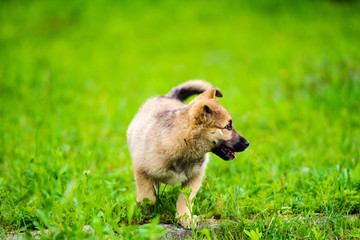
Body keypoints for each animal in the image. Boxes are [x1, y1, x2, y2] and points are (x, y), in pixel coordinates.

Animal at [128, 80, 249, 229]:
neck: (183, 143)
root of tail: (169, 96)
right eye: (228, 126)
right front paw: (144, 213)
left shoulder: (195, 176)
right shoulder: (142, 171)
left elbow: (185, 198)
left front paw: (185, 218)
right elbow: (148, 197)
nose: (247, 143)